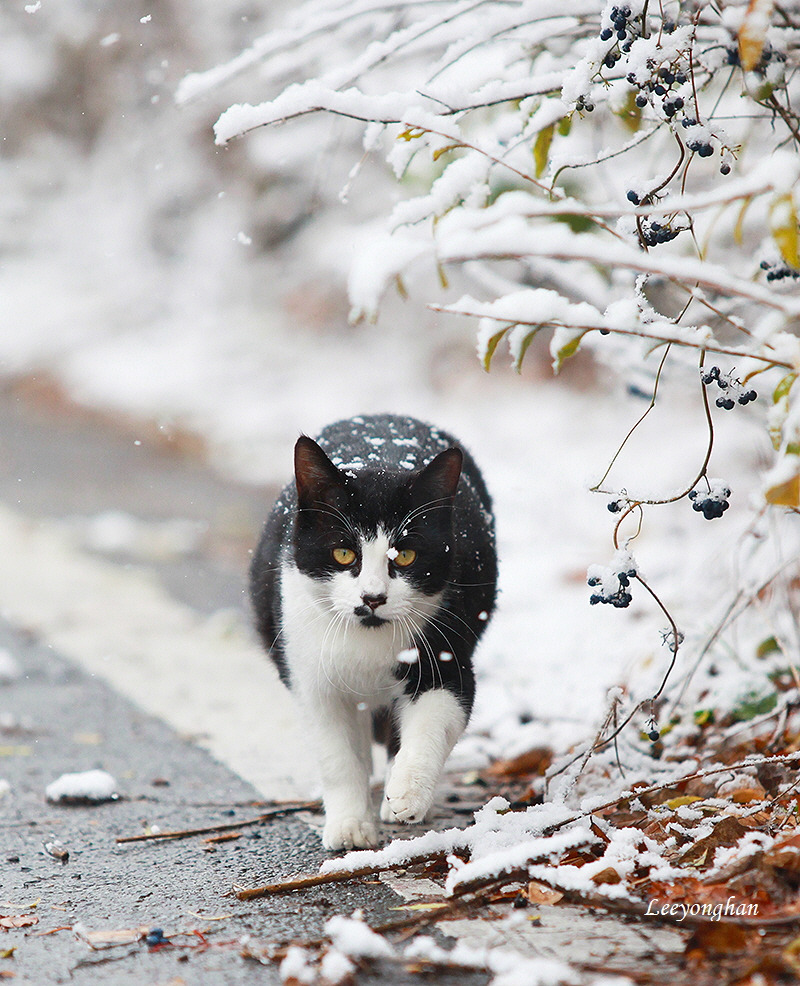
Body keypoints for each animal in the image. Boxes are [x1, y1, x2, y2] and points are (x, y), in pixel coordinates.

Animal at [252, 412, 500, 848]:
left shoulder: (447, 651)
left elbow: (437, 715)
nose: (373, 597)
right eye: (343, 552)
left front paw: (407, 793)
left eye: (405, 555)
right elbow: (335, 754)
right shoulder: (308, 676)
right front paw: (350, 825)